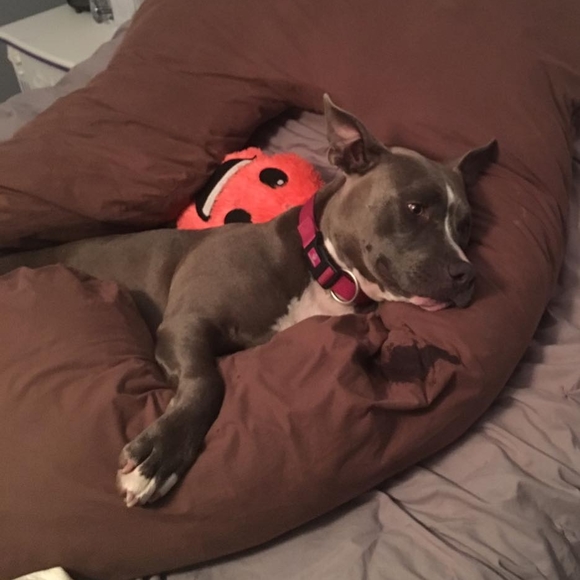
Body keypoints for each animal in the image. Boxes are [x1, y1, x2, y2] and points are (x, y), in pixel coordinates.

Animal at [0, 95, 497, 507]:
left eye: (465, 225)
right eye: (415, 208)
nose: (466, 273)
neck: (320, 268)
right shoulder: (185, 325)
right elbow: (207, 382)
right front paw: (158, 457)